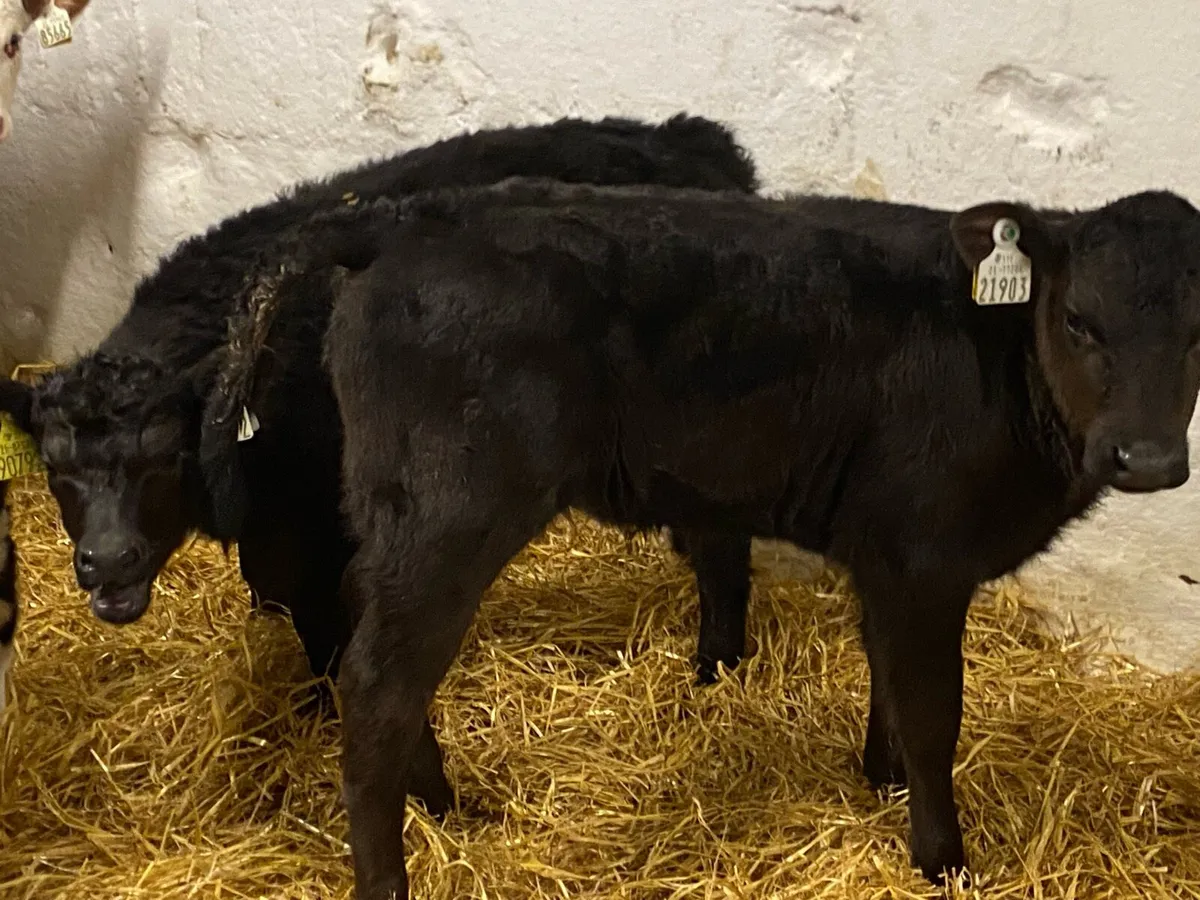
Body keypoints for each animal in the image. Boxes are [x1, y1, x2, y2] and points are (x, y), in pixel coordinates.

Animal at [0, 114, 759, 693]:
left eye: (162, 459)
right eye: (56, 469)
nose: (108, 561)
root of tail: (695, 140)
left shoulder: (315, 523)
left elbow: (324, 628)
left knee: (723, 548)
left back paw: (713, 671)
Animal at [284, 178, 1200, 897]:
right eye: (1078, 320)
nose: (1147, 458)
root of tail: (406, 218)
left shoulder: (882, 554)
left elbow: (887, 682)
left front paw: (882, 781)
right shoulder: (923, 558)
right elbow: (933, 711)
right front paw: (942, 859)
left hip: (394, 513)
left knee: (367, 634)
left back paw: (442, 806)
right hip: (452, 511)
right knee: (380, 684)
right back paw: (390, 876)